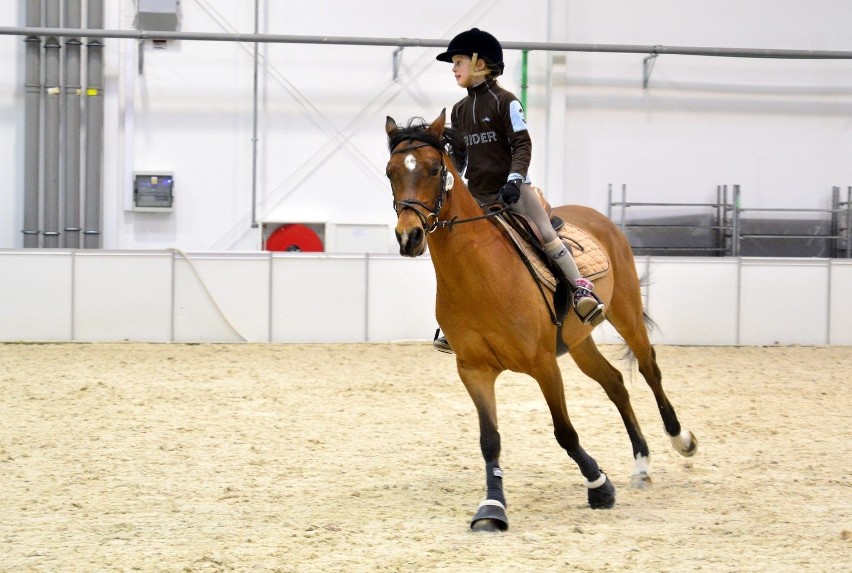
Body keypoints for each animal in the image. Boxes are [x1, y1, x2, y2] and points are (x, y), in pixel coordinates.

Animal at [386, 108, 700, 532]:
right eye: (390, 171)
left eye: (435, 169)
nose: (410, 237)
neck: (478, 275)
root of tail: (598, 216)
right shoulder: (474, 370)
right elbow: (490, 440)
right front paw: (492, 508)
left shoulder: (543, 363)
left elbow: (564, 432)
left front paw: (599, 487)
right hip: (579, 342)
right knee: (616, 384)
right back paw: (641, 465)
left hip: (626, 314)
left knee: (650, 369)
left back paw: (681, 440)